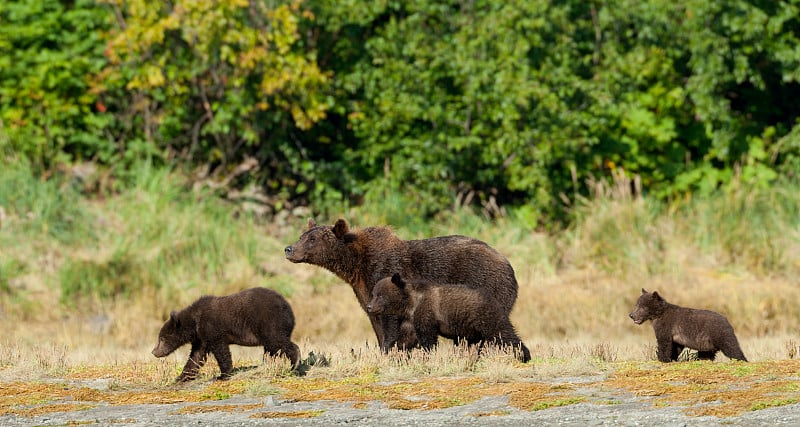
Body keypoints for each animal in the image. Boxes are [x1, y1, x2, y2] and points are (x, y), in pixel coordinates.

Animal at [284, 221, 520, 352]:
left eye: (312, 239)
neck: (356, 266)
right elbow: (375, 321)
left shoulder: (385, 275)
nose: (289, 249)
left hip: (487, 287)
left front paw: (392, 349)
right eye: (302, 235)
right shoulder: (364, 291)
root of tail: (507, 262)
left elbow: (391, 322)